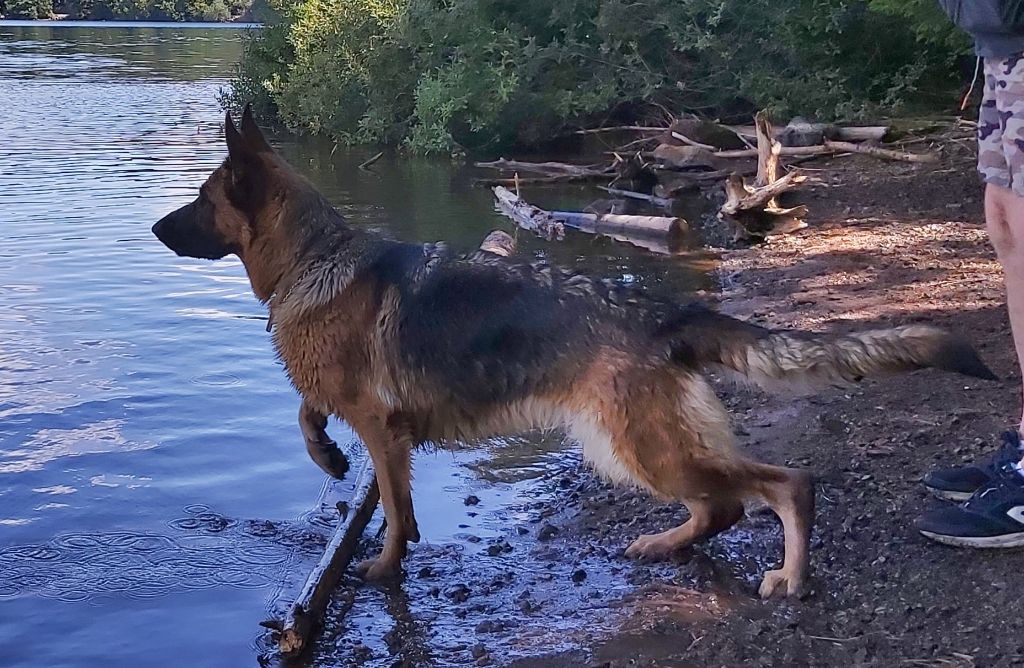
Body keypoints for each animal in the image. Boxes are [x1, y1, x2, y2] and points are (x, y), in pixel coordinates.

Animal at [151, 107, 991, 598]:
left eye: (201, 199)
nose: (155, 228)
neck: (312, 260)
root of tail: (665, 310)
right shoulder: (369, 421)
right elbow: (309, 415)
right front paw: (327, 457)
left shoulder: (384, 433)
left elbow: (389, 509)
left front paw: (385, 568)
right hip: (632, 446)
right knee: (722, 505)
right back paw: (667, 544)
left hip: (640, 446)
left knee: (782, 484)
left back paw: (788, 572)